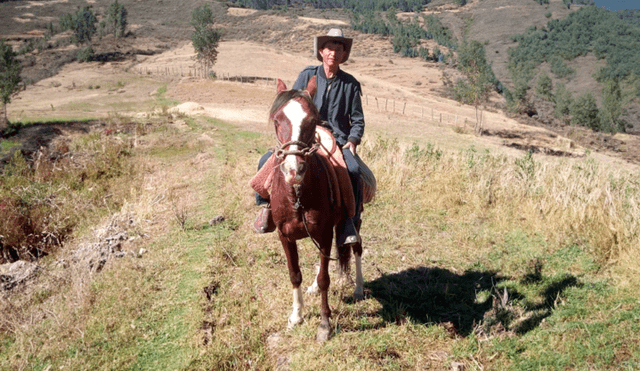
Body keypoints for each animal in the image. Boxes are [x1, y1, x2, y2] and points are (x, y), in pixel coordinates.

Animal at [268, 77, 362, 342]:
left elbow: (324, 279)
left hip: (354, 221)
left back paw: (359, 288)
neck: (298, 194)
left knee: (357, 249)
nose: (293, 170)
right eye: (277, 120)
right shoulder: (285, 236)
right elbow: (295, 274)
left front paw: (324, 324)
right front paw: (296, 316)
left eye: (311, 121)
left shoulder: (324, 233)